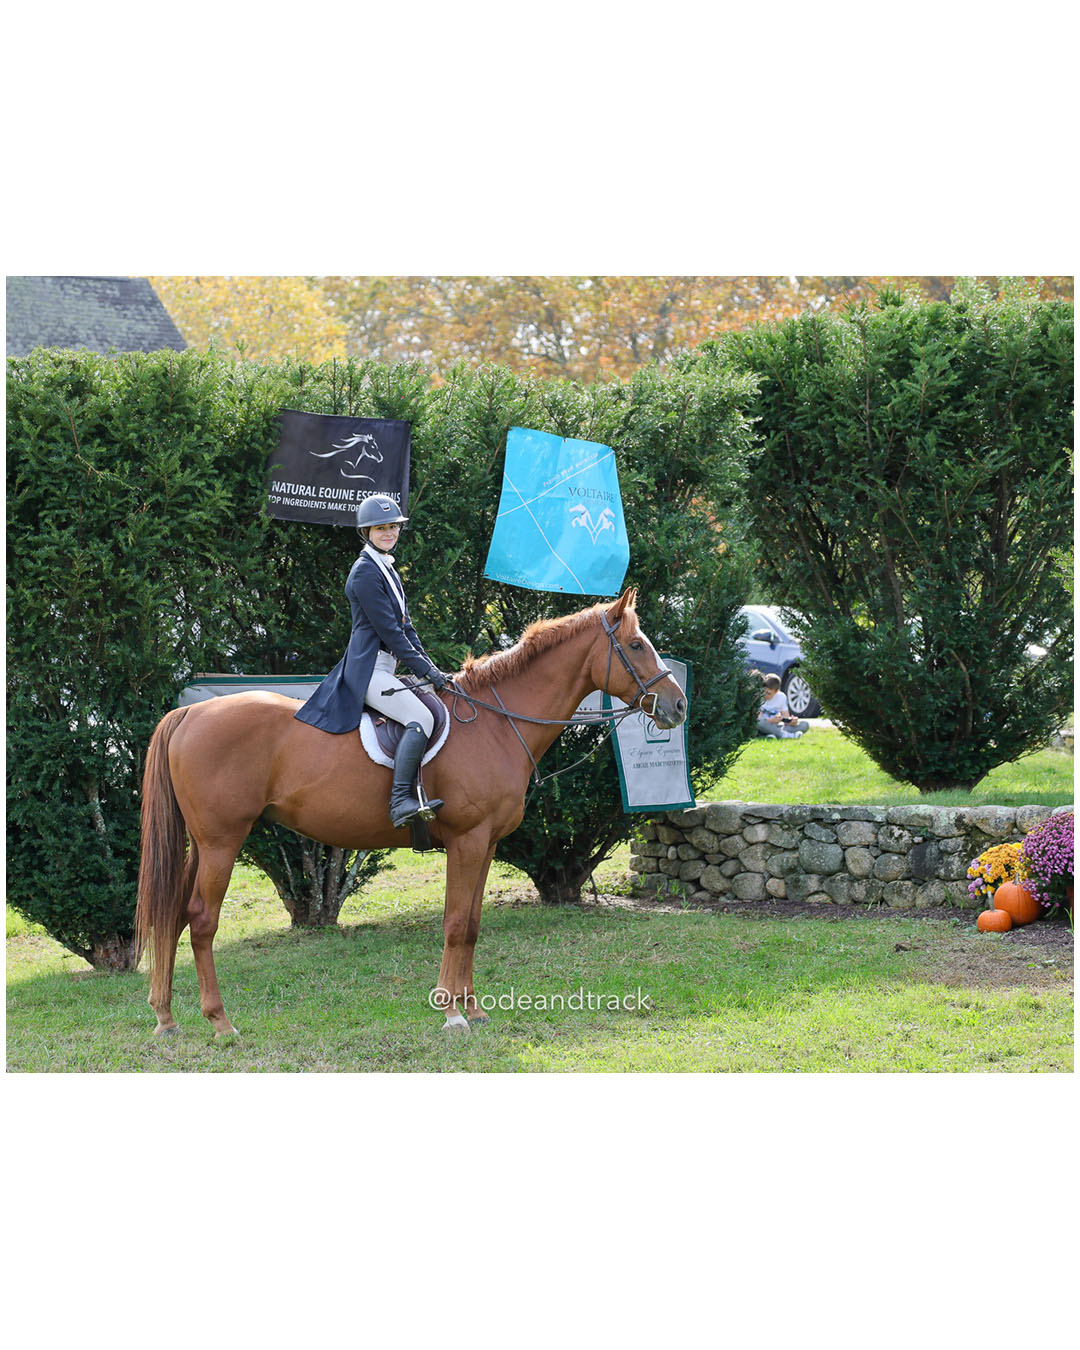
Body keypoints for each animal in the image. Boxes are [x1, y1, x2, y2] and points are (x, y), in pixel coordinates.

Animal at [135, 587, 686, 1035]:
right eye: (636, 645)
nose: (677, 707)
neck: (495, 722)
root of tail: (190, 711)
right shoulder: (467, 840)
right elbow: (455, 923)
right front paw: (452, 1012)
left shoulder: (485, 843)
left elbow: (473, 923)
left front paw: (473, 1008)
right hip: (222, 841)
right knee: (201, 920)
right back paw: (220, 1022)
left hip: (200, 844)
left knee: (172, 916)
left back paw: (165, 1018)